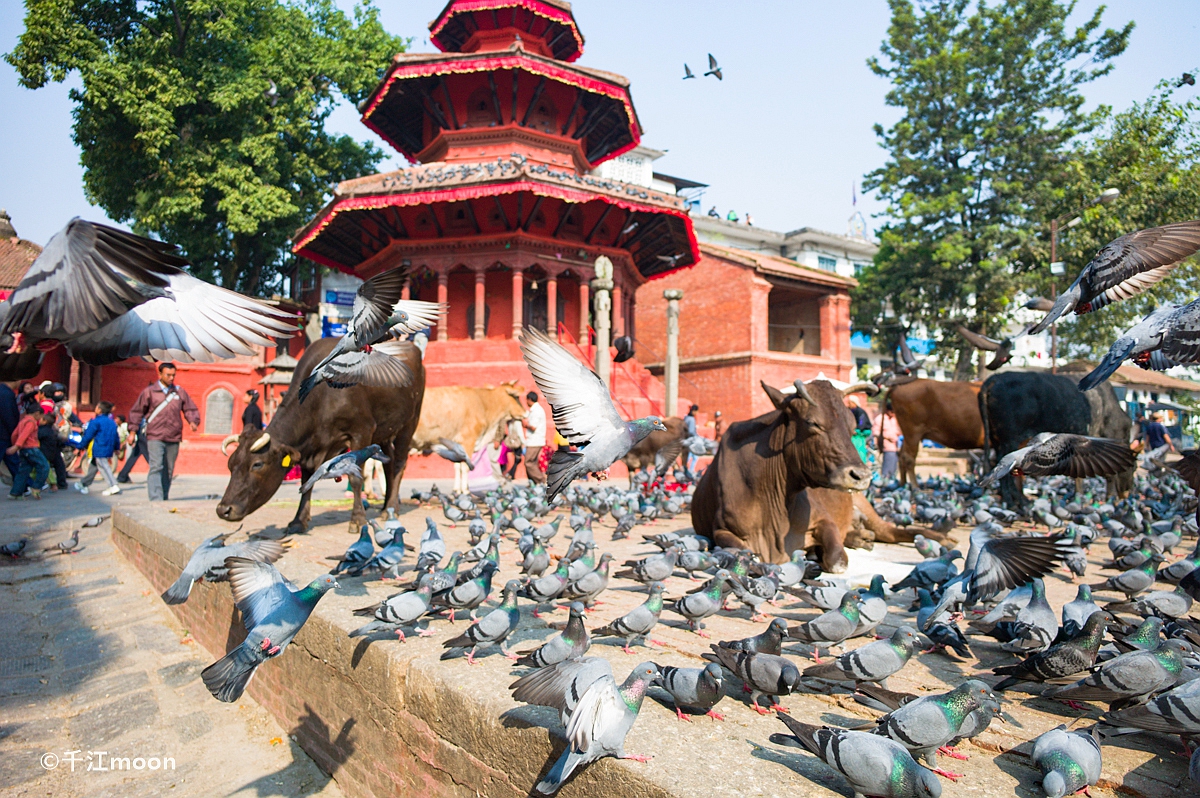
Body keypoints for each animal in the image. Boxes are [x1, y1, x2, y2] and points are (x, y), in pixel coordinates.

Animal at [220, 338, 427, 532]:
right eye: (230, 464)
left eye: (257, 464)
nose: (223, 510)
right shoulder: (310, 448)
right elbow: (307, 480)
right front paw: (299, 520)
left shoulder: (362, 432)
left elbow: (356, 478)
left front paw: (357, 520)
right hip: (384, 431)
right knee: (388, 464)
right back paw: (385, 508)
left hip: (409, 422)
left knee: (399, 463)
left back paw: (392, 508)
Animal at [696, 379, 873, 566]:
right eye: (812, 423)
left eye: (853, 426)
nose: (861, 475)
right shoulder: (721, 529)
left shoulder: (823, 518)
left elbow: (836, 559)